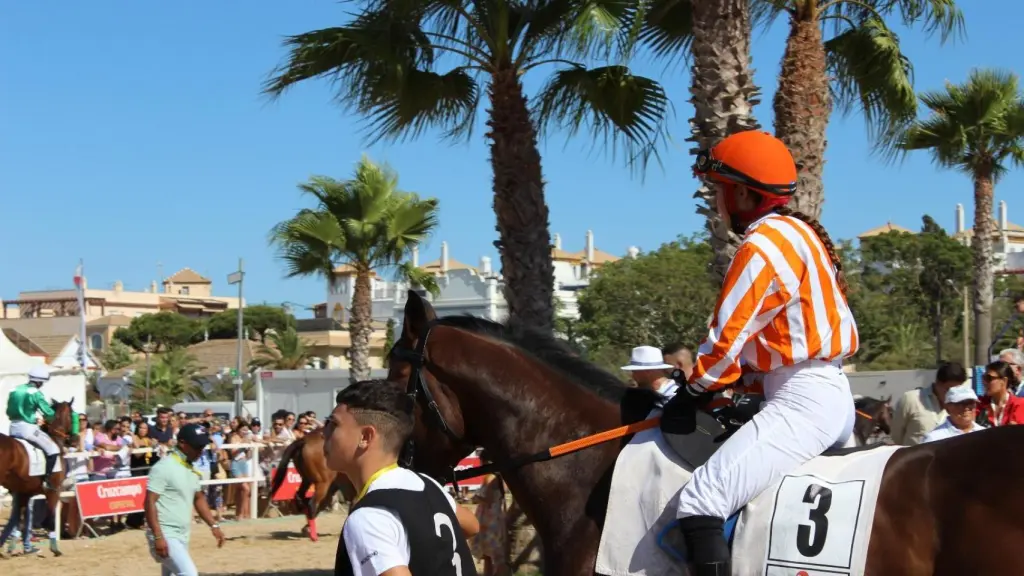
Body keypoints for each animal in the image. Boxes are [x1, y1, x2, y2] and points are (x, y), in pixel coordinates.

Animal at [0, 397, 74, 553]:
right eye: (72, 415)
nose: (73, 439)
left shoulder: (24, 492)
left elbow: (19, 518)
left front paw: (15, 545)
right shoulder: (54, 491)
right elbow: (50, 519)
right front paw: (54, 548)